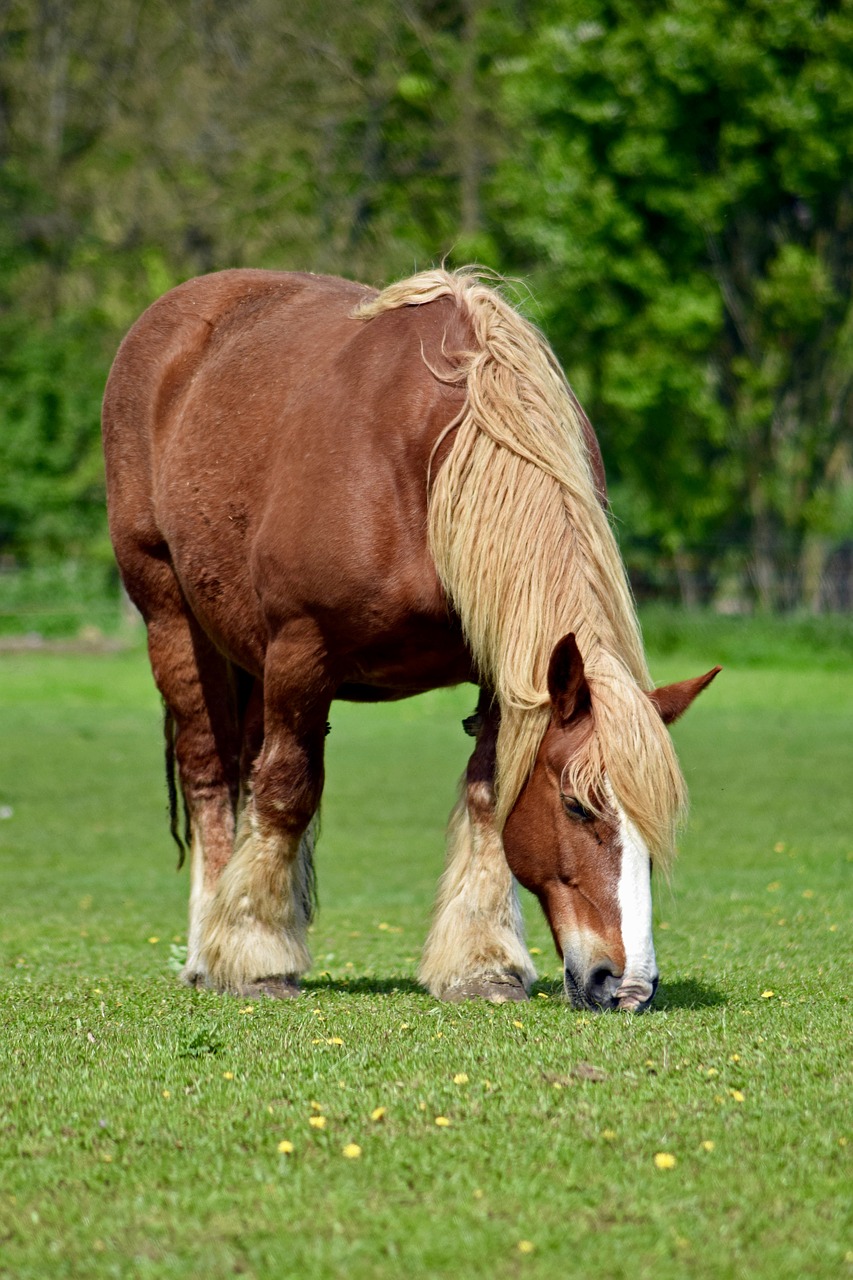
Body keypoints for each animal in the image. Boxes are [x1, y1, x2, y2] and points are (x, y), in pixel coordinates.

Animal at [101, 267, 717, 1008]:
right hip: (172, 618)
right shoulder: (301, 648)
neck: (428, 465)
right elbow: (287, 789)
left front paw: (483, 965)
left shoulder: (502, 667)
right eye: (576, 806)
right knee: (209, 774)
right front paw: (253, 956)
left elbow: (487, 795)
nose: (627, 987)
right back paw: (208, 947)